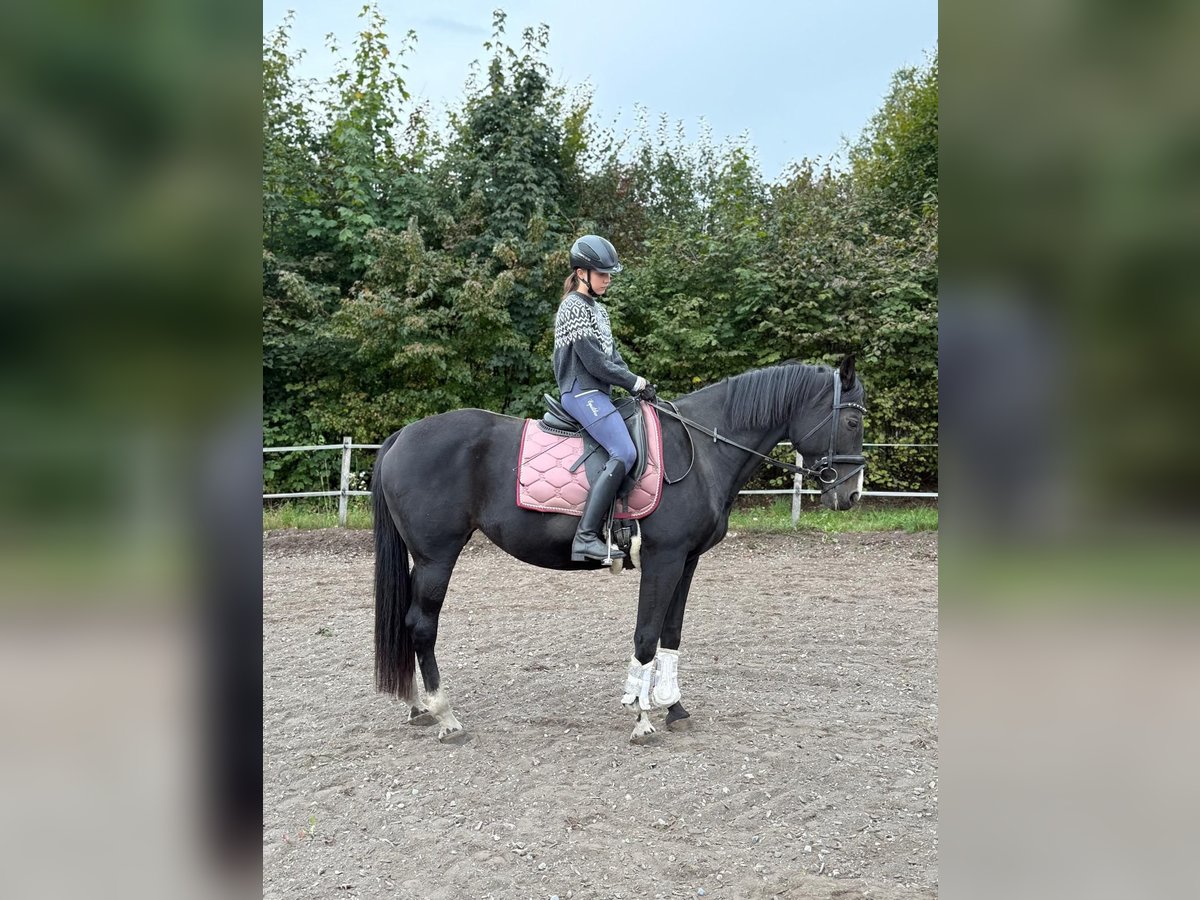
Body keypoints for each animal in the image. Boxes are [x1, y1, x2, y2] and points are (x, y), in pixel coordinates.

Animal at [372, 355, 867, 743]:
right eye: (852, 421)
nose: (851, 495)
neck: (703, 450)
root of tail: (401, 436)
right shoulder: (664, 559)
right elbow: (646, 634)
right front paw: (642, 717)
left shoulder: (686, 561)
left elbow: (671, 634)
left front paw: (674, 707)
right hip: (437, 557)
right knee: (421, 626)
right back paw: (445, 716)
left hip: (424, 560)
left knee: (408, 623)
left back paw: (418, 707)